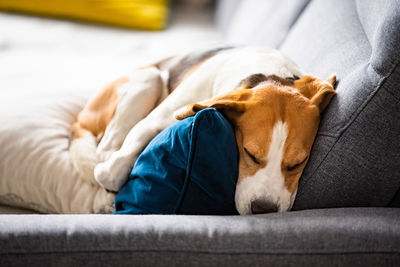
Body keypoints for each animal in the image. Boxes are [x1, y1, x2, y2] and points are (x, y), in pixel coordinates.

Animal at [69, 46, 334, 216]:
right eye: (249, 153)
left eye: (298, 163)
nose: (264, 209)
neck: (269, 73)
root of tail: (80, 119)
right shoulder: (152, 121)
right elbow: (109, 172)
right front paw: (108, 184)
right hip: (149, 78)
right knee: (104, 150)